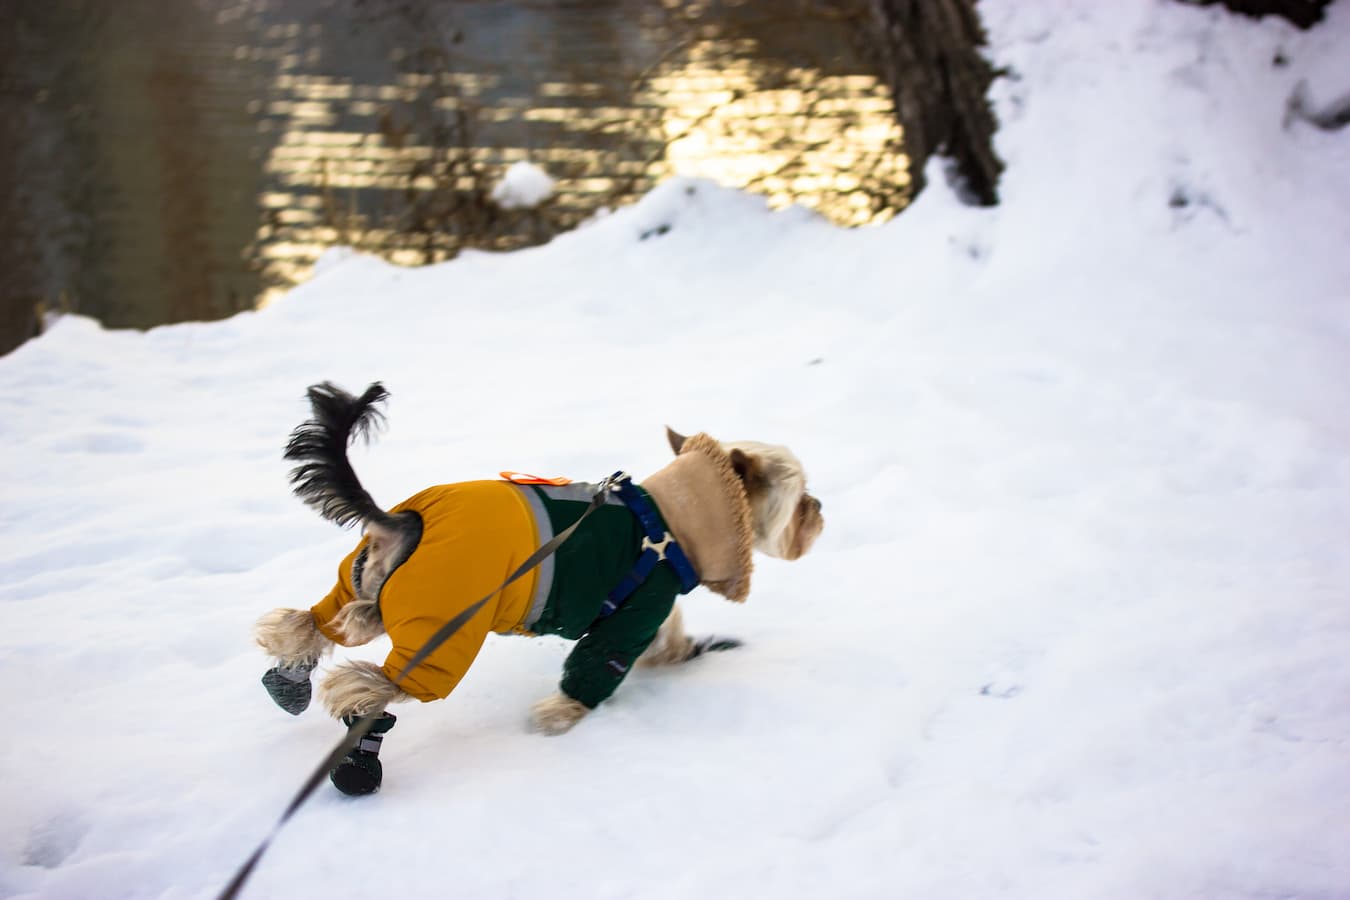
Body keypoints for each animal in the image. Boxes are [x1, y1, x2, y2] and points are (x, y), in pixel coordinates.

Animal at [253, 383, 820, 793]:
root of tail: (404, 524)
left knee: (311, 624)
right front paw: (559, 718)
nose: (819, 511)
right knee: (373, 685)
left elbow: (668, 641)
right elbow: (597, 668)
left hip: (360, 584)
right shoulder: (635, 614)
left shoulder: (653, 609)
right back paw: (357, 743)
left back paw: (290, 680)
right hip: (443, 628)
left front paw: (687, 653)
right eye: (800, 500)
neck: (669, 524)